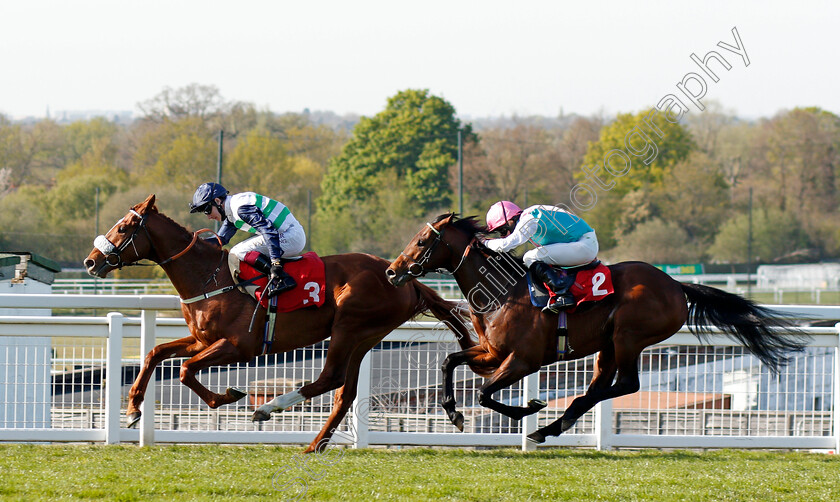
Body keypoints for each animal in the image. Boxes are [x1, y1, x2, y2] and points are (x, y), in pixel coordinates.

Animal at [83, 195, 472, 452]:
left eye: (122, 228)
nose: (90, 261)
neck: (209, 277)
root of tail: (399, 276)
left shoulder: (238, 346)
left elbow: (185, 370)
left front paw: (226, 396)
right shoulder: (202, 339)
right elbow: (156, 353)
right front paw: (133, 410)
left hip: (350, 325)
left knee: (329, 379)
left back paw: (268, 409)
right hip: (365, 336)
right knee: (344, 392)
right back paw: (315, 444)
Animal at [388, 214, 808, 446]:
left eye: (422, 241)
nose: (392, 271)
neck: (502, 292)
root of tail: (676, 285)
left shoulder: (523, 360)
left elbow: (485, 393)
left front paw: (529, 408)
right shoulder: (492, 353)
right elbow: (450, 362)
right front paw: (453, 413)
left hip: (628, 337)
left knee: (626, 384)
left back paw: (550, 423)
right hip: (608, 345)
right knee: (599, 388)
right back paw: (555, 425)